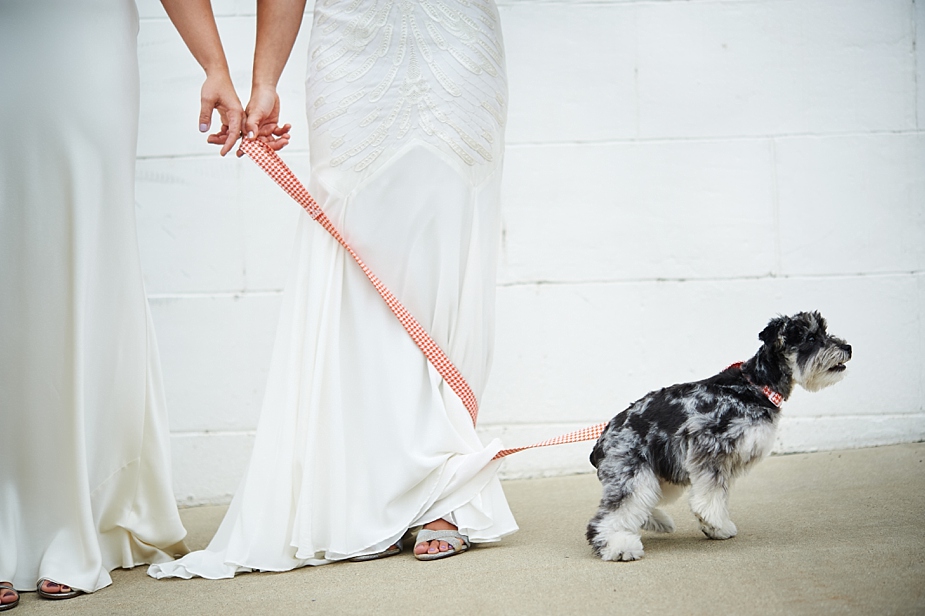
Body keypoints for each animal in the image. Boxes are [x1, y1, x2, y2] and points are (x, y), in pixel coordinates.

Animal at [588, 310, 848, 560]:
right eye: (811, 338)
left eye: (824, 331)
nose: (848, 348)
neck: (754, 386)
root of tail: (602, 440)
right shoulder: (712, 449)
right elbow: (711, 496)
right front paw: (713, 522)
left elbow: (718, 494)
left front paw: (716, 526)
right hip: (633, 474)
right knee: (608, 517)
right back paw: (618, 546)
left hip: (656, 476)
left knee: (639, 506)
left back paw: (659, 522)